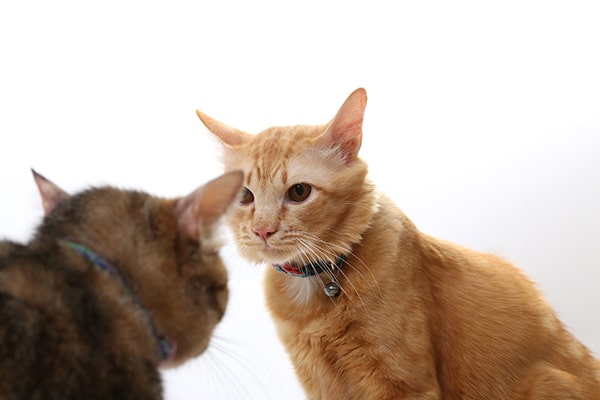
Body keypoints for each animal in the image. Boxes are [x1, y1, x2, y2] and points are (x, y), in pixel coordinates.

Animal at [198, 90, 600, 400]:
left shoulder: (404, 384)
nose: (262, 230)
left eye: (299, 192)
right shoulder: (320, 384)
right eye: (245, 196)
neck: (317, 286)